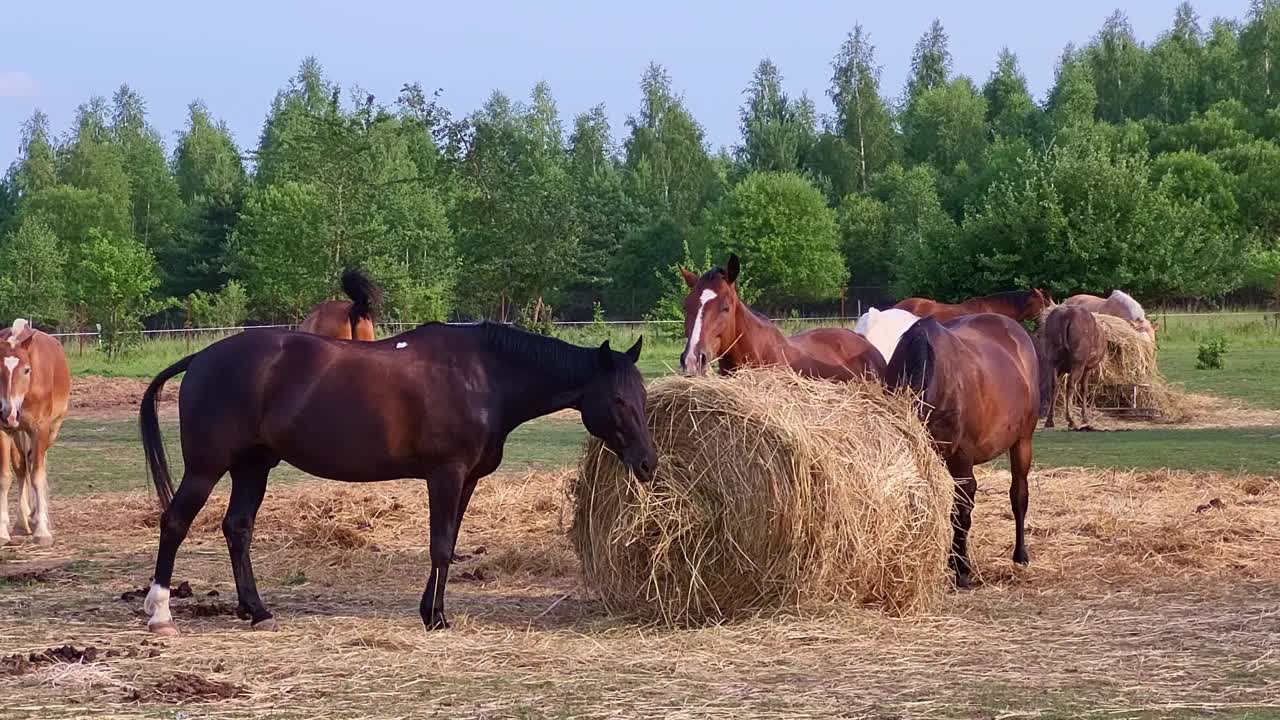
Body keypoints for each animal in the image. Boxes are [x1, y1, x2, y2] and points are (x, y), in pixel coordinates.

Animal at [0, 316, 70, 545]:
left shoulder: (40, 430)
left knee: (35, 465)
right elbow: (6, 477)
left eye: (27, 370)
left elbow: (38, 475)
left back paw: (38, 518)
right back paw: (23, 521)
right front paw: (3, 532)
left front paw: (42, 531)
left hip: (52, 430)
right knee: (22, 467)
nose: (9, 413)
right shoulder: (4, 430)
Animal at [137, 322, 660, 630]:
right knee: (175, 523)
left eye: (642, 396)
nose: (647, 462)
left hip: (253, 466)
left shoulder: (466, 479)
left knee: (238, 529)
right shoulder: (445, 474)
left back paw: (256, 610)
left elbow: (448, 543)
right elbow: (441, 546)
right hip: (206, 468)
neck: (482, 376)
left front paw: (432, 610)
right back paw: (160, 613)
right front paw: (437, 618)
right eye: (618, 400)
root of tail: (202, 358)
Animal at [880, 311, 1049, 586]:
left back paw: (1020, 555)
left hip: (1023, 441)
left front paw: (960, 569)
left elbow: (960, 513)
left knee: (1019, 495)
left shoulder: (961, 458)